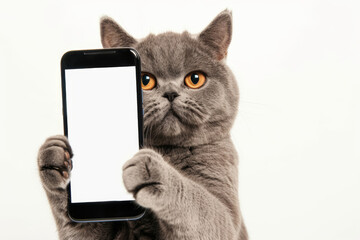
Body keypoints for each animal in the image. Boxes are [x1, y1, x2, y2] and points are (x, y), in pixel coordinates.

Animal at [38, 9, 249, 240]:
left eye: (195, 79)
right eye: (145, 80)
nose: (170, 93)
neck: (167, 151)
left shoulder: (228, 217)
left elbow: (202, 206)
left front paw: (151, 171)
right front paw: (55, 156)